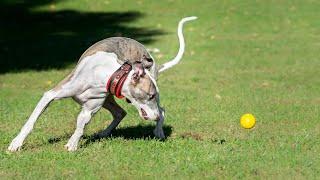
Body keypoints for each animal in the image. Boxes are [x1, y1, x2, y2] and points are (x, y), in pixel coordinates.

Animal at [7, 16, 196, 151]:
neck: (104, 73)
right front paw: (16, 143)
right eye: (149, 95)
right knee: (121, 112)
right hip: (108, 98)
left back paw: (158, 131)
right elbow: (31, 121)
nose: (155, 117)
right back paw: (107, 132)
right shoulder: (52, 94)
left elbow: (81, 125)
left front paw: (72, 144)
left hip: (108, 98)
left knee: (153, 110)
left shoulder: (90, 108)